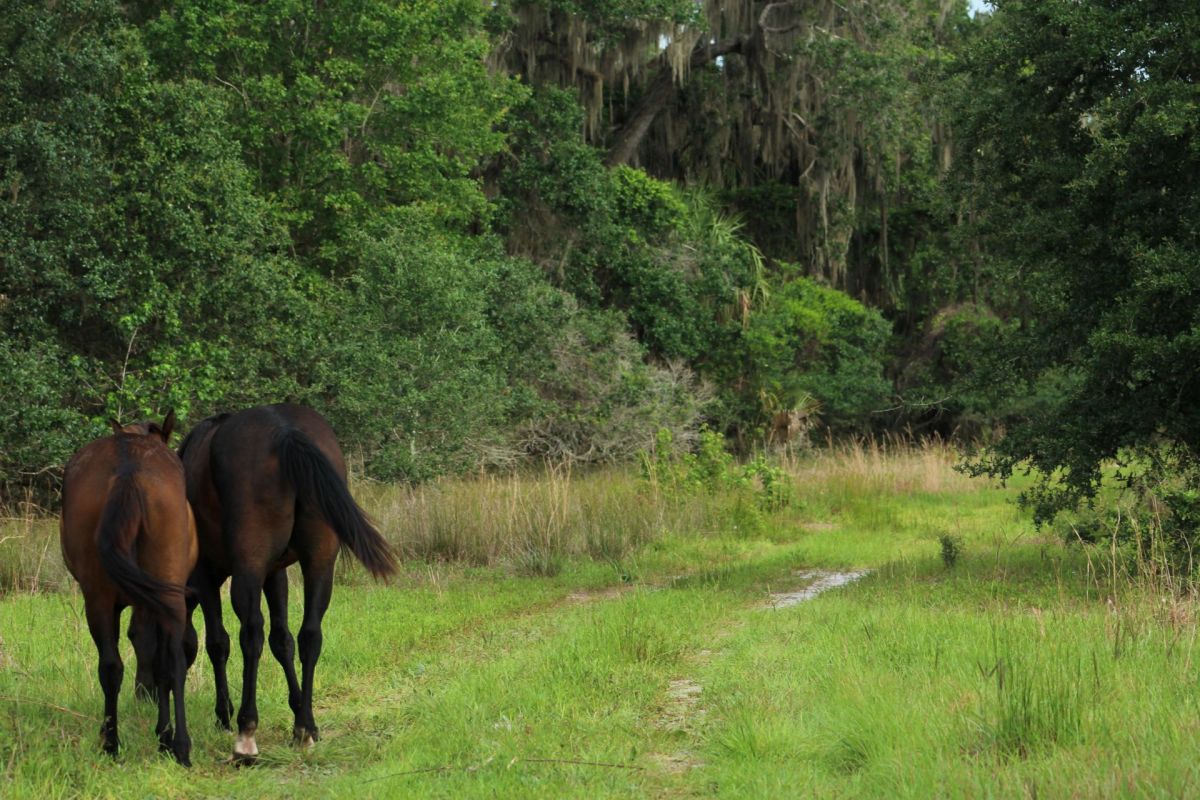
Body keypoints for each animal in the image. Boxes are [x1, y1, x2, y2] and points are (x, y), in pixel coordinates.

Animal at [59, 411, 198, 766]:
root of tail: (128, 471)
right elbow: (155, 655)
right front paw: (163, 732)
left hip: (98, 599)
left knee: (110, 666)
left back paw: (112, 742)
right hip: (166, 596)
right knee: (172, 660)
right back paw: (178, 744)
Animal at [159, 403, 396, 762]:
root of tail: (285, 431)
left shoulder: (206, 577)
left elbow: (218, 643)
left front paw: (224, 713)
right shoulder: (276, 574)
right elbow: (283, 640)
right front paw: (302, 715)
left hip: (249, 569)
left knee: (251, 634)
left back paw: (246, 733)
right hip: (320, 563)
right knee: (310, 634)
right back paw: (303, 728)